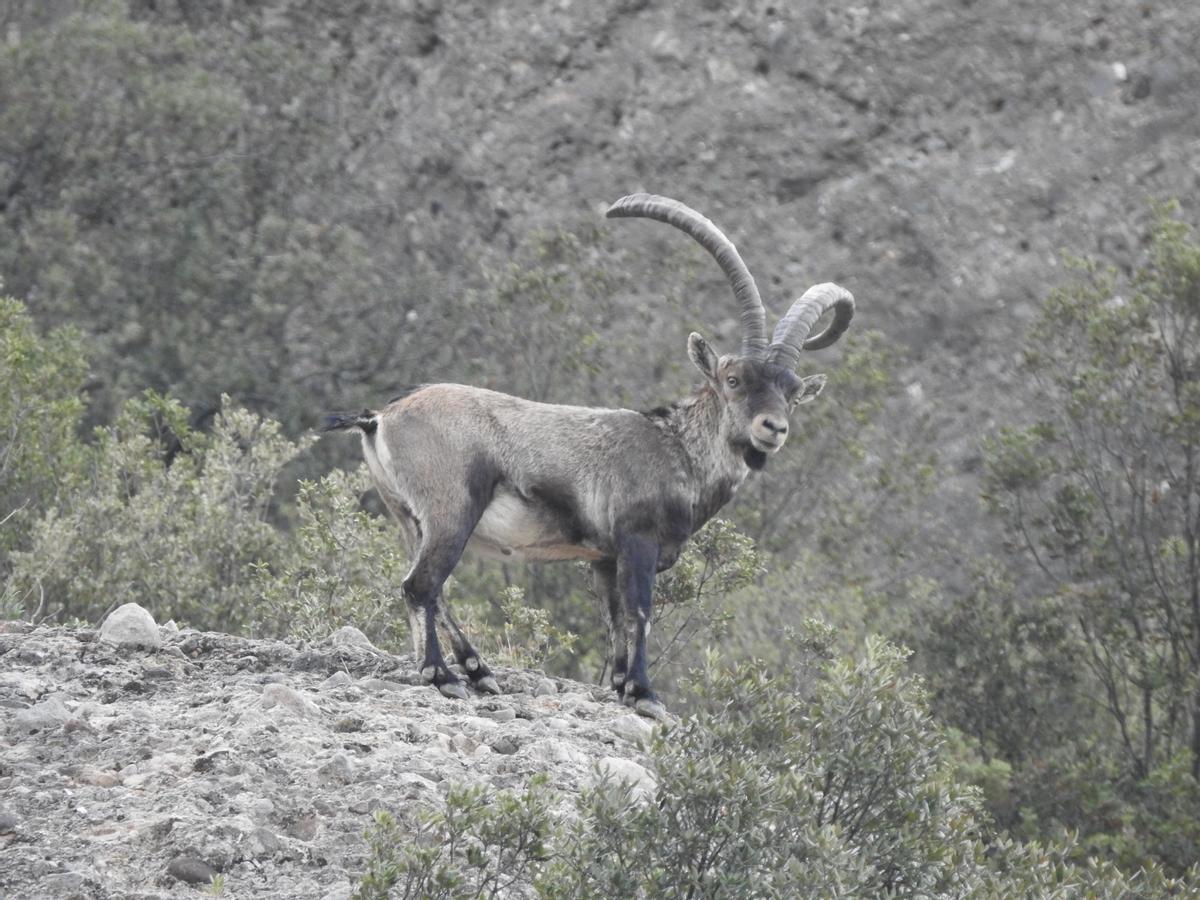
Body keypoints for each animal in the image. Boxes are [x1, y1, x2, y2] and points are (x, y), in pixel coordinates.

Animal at [323, 193, 854, 719]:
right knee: (421, 585)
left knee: (433, 587)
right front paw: (644, 694)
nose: (773, 428)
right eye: (734, 379)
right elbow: (640, 612)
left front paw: (621, 684)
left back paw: (478, 671)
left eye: (792, 393)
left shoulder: (604, 558)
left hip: (408, 517)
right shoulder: (638, 541)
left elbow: (615, 617)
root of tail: (381, 418)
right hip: (451, 510)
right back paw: (443, 675)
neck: (678, 449)